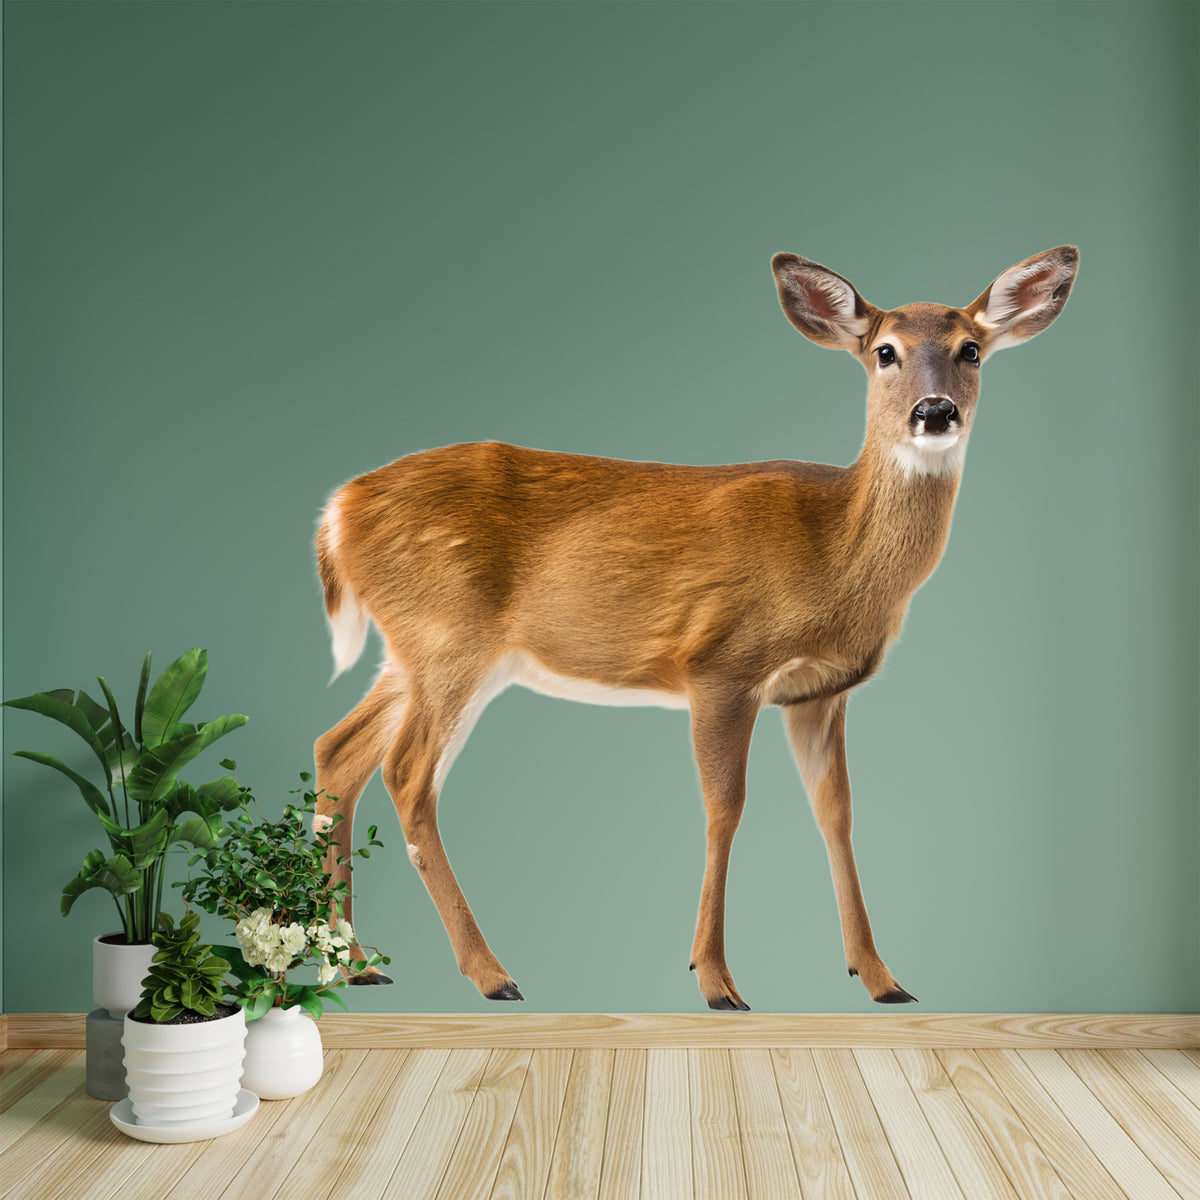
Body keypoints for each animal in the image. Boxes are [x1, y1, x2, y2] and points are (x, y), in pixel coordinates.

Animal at [312, 245, 1078, 1011]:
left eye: (970, 349)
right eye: (885, 351)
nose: (935, 410)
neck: (835, 549)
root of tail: (338, 510)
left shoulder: (818, 693)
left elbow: (837, 813)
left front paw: (881, 978)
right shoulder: (722, 664)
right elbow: (725, 807)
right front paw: (716, 981)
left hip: (413, 649)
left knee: (338, 751)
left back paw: (354, 963)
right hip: (450, 637)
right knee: (407, 774)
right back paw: (490, 973)